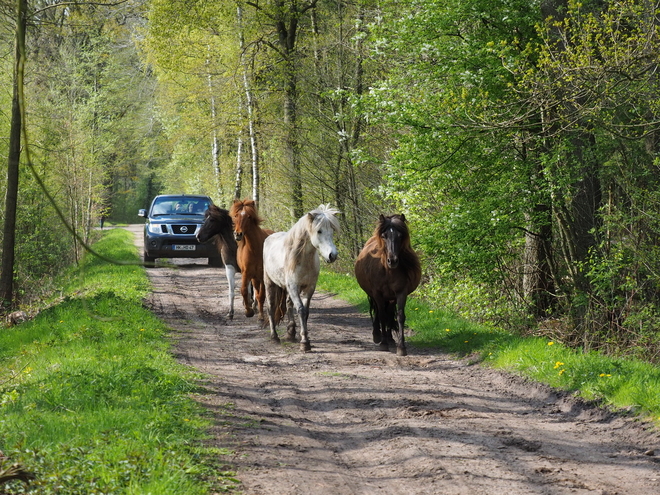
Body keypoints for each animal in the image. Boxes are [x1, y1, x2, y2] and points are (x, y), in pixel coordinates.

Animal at [262, 205, 340, 352]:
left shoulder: (309, 288)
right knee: (271, 307)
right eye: (319, 231)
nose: (332, 255)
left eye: (332, 230)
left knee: (288, 304)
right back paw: (274, 337)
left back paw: (291, 333)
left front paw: (304, 338)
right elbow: (301, 310)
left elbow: (306, 311)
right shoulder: (293, 287)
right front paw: (304, 343)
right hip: (270, 283)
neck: (302, 259)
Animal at [354, 213, 420, 356]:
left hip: (391, 298)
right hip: (374, 295)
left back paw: (390, 338)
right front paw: (383, 343)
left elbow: (399, 316)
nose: (393, 260)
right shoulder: (377, 293)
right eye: (384, 236)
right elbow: (382, 315)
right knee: (378, 311)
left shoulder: (400, 293)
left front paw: (401, 347)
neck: (388, 271)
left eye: (400, 236)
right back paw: (378, 335)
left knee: (389, 312)